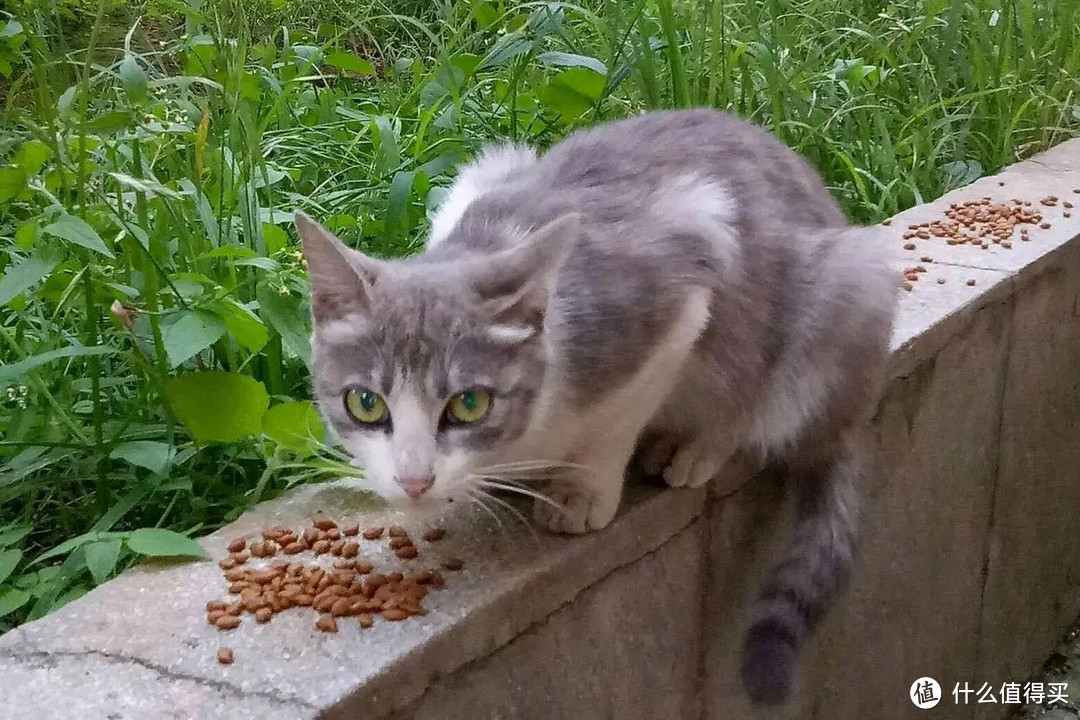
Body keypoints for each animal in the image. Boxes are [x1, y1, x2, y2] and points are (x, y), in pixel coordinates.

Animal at [295, 110, 902, 708]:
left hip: (840, 298)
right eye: (365, 403)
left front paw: (579, 492)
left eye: (469, 404)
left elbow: (617, 421)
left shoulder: (676, 293)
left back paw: (694, 447)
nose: (415, 480)